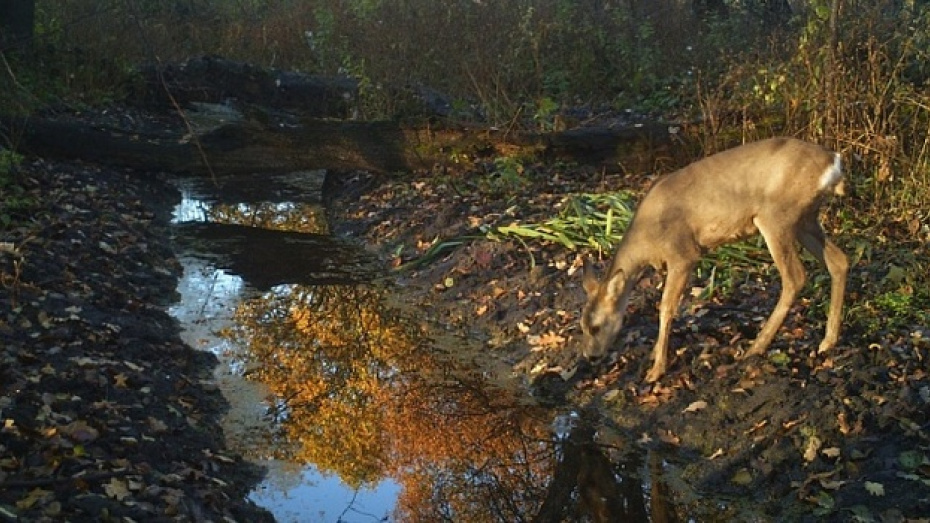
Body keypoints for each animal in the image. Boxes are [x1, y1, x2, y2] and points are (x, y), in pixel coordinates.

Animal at [580, 138, 848, 384]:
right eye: (582, 326)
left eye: (595, 327)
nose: (590, 356)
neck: (645, 242)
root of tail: (833, 161)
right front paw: (654, 356)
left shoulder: (683, 253)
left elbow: (666, 307)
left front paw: (656, 370)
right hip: (805, 218)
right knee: (839, 261)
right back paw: (827, 342)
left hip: (777, 217)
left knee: (795, 277)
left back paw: (755, 348)